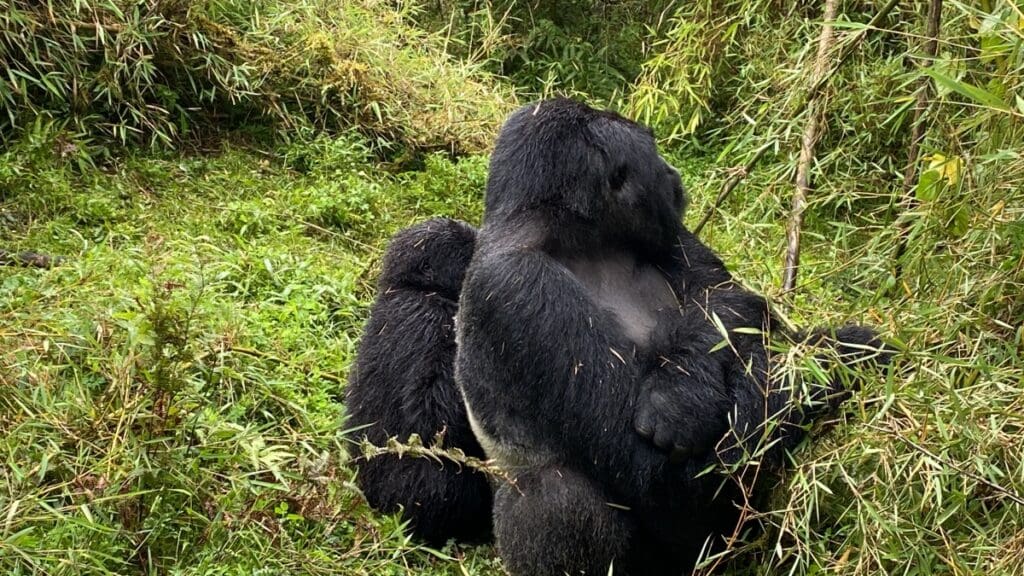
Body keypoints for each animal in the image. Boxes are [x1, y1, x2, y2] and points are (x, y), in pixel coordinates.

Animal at [456, 99, 888, 573]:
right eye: (653, 155)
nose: (672, 172)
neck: (577, 237)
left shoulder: (670, 233)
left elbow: (725, 298)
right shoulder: (519, 285)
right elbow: (657, 472)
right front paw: (841, 357)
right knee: (559, 495)